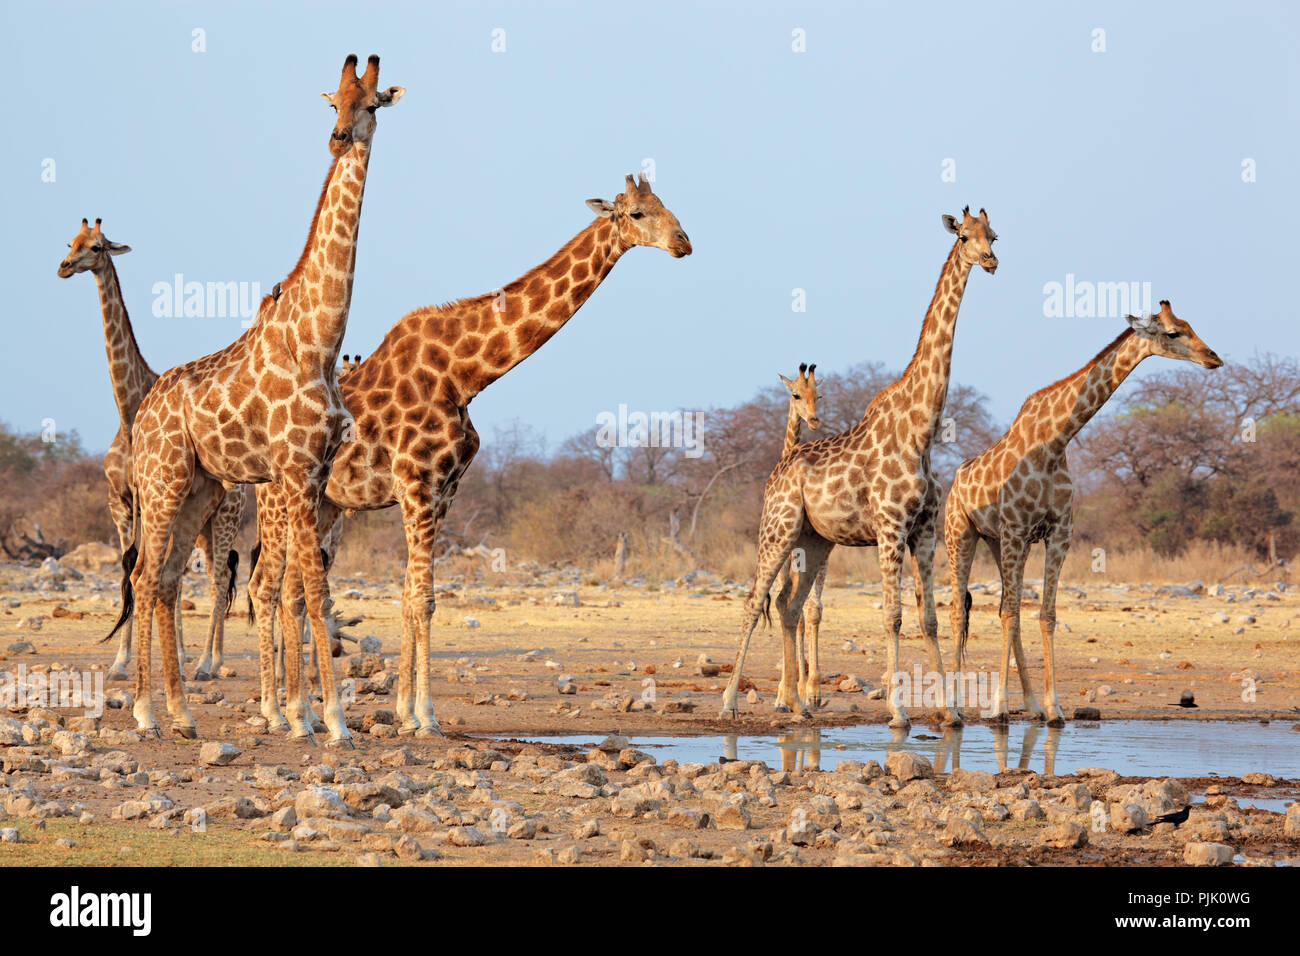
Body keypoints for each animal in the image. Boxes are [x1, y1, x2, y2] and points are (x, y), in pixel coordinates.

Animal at [56, 218, 247, 683]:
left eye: (97, 247)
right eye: (70, 242)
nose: (64, 267)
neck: (127, 413)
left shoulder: (151, 500)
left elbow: (146, 571)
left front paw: (155, 659)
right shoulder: (121, 502)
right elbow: (129, 567)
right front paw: (122, 662)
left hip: (225, 519)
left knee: (219, 580)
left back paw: (208, 663)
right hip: (202, 524)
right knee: (202, 575)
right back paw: (198, 656)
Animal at [107, 54, 403, 745]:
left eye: (371, 103)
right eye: (333, 103)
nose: (338, 139)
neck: (320, 339)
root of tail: (145, 410)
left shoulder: (316, 475)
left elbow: (306, 592)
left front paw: (305, 713)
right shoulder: (295, 470)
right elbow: (309, 592)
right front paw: (327, 721)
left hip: (201, 487)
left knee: (165, 579)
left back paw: (183, 714)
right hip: (161, 482)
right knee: (144, 575)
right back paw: (144, 713)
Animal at [252, 172, 691, 737]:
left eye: (665, 204)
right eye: (637, 213)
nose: (684, 242)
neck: (466, 374)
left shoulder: (444, 492)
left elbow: (410, 597)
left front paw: (403, 713)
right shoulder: (418, 486)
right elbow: (424, 598)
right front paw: (426, 717)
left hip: (324, 505)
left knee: (287, 591)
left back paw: (293, 711)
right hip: (279, 502)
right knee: (267, 587)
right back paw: (279, 712)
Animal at [721, 207, 999, 725]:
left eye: (993, 234)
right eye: (964, 236)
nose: (991, 260)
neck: (921, 431)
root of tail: (778, 469)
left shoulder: (923, 530)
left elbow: (928, 616)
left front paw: (950, 712)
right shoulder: (890, 528)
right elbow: (892, 615)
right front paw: (899, 712)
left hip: (815, 539)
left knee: (789, 606)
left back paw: (800, 709)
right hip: (778, 528)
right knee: (753, 601)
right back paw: (730, 703)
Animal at [945, 301, 1222, 724]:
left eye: (1191, 325)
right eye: (1174, 332)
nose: (1213, 358)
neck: (1055, 441)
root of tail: (954, 483)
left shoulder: (1058, 532)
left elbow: (1045, 614)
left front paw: (1052, 708)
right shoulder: (1017, 529)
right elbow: (1010, 614)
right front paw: (998, 708)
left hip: (995, 540)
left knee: (1006, 609)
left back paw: (1027, 703)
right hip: (961, 534)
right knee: (960, 612)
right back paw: (955, 709)